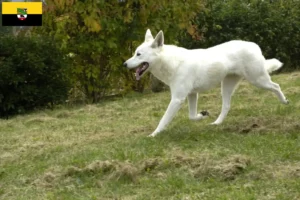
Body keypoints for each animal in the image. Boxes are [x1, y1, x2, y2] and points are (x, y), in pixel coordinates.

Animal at [123, 28, 288, 137]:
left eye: (138, 54)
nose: (124, 64)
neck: (172, 62)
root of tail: (254, 45)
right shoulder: (191, 95)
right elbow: (191, 116)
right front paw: (202, 115)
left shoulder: (177, 99)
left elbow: (163, 120)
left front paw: (153, 135)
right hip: (226, 86)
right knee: (226, 106)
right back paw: (216, 123)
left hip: (258, 79)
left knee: (276, 86)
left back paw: (284, 101)